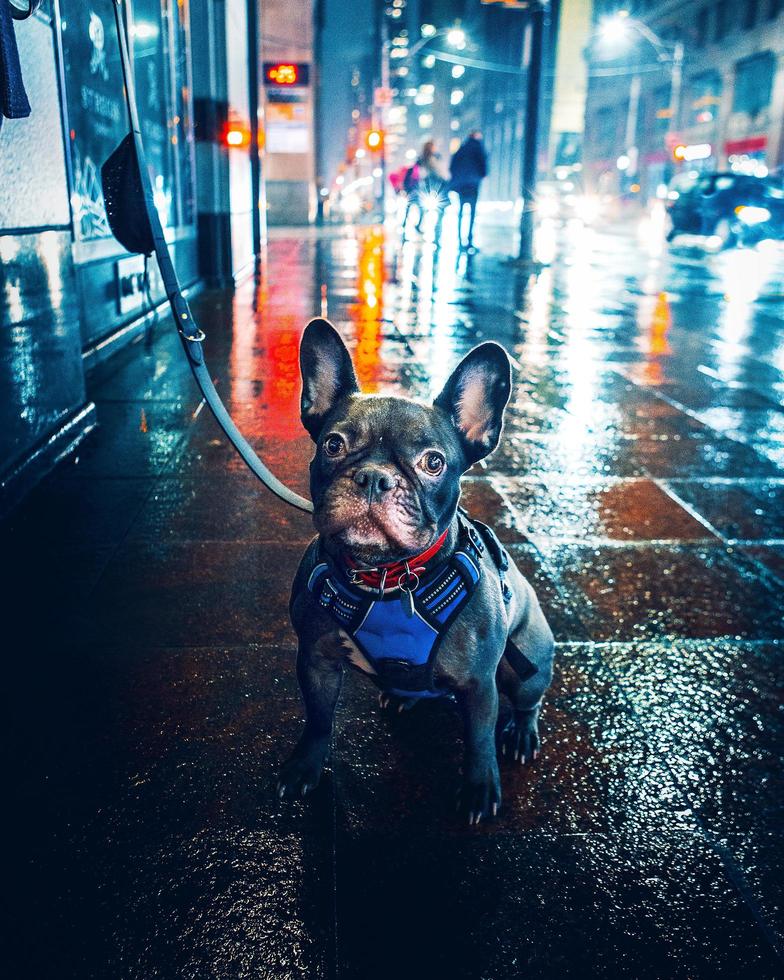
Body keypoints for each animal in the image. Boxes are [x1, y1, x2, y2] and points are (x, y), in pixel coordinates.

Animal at [278, 318, 556, 824]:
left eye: (433, 462)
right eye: (333, 444)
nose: (373, 476)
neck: (386, 578)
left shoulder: (478, 685)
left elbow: (479, 741)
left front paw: (480, 789)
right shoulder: (316, 658)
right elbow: (319, 720)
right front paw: (304, 766)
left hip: (524, 665)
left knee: (527, 701)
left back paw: (522, 733)